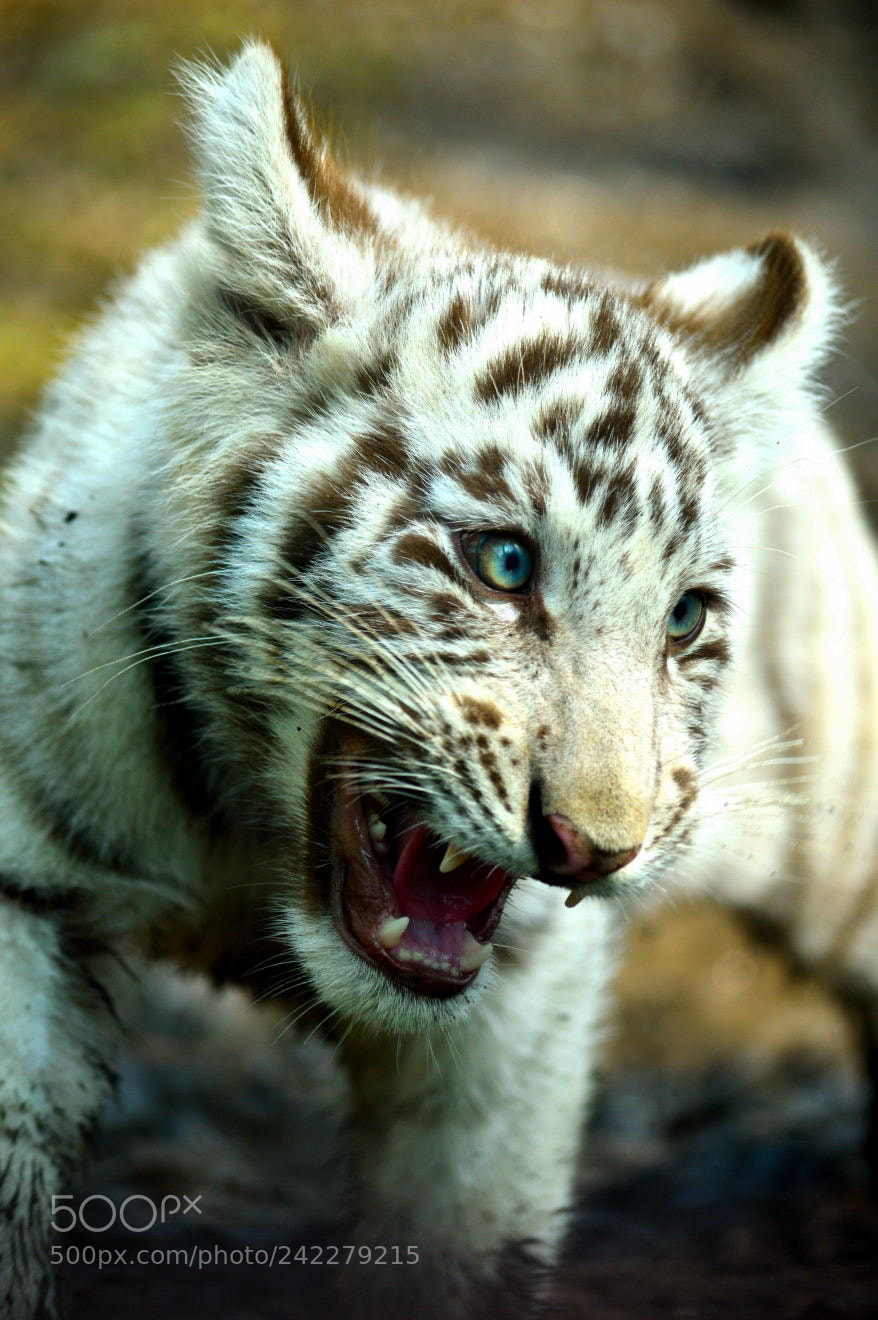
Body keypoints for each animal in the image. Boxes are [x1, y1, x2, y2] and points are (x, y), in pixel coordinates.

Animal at [2, 38, 877, 1320]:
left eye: (682, 619)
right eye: (502, 563)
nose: (597, 849)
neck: (249, 843)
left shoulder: (516, 1009)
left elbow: (461, 1237)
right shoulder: (24, 883)